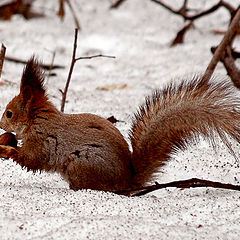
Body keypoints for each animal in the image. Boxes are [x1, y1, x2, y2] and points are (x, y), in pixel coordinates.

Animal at [0, 57, 240, 194]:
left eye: (9, 113)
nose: (1, 123)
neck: (37, 119)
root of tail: (128, 180)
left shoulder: (42, 140)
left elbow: (32, 159)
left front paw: (10, 151)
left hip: (83, 164)